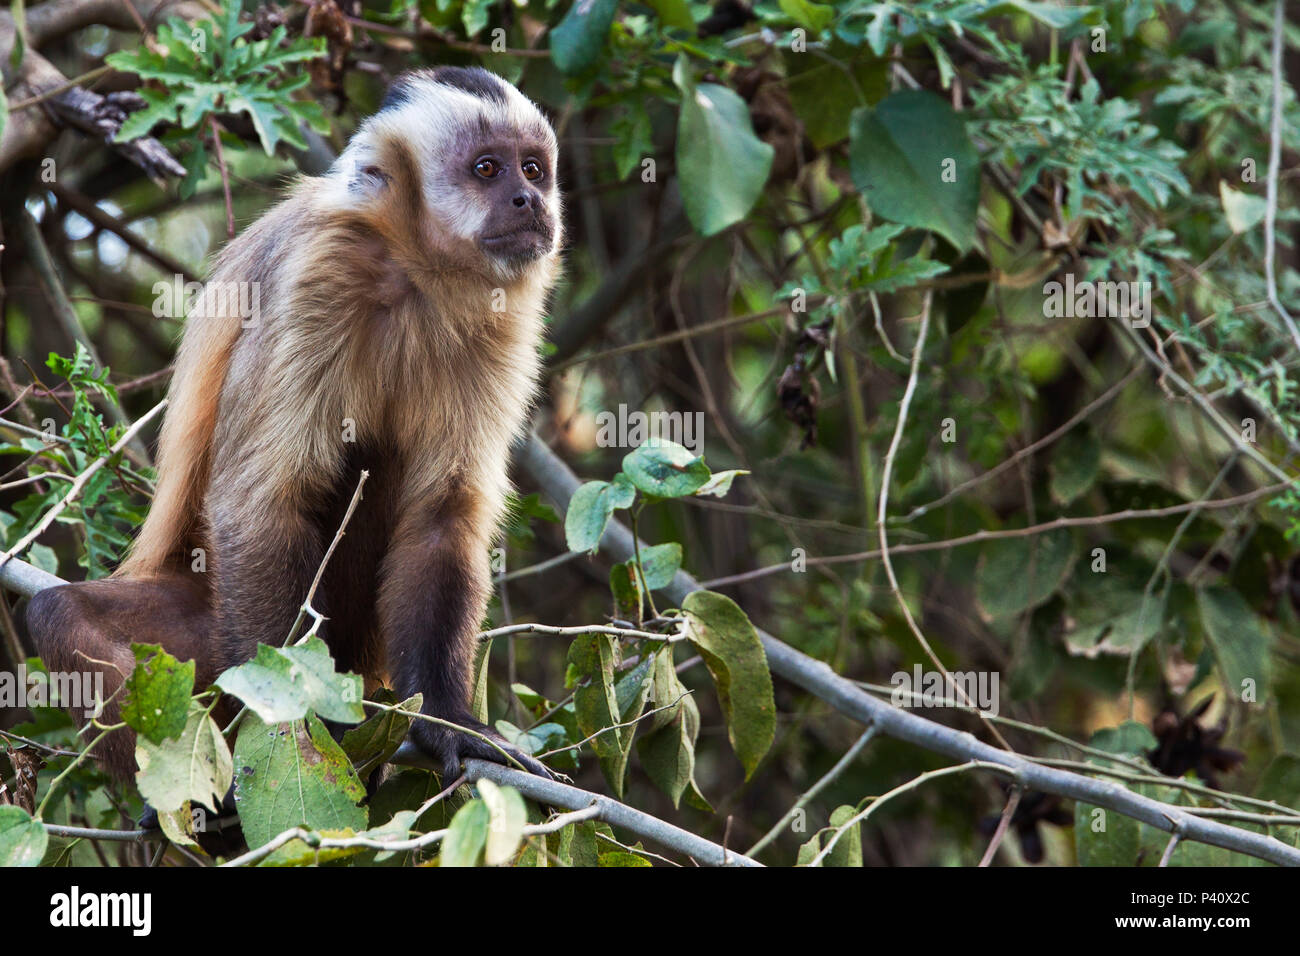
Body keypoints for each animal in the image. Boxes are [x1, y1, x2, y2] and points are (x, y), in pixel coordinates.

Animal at [26, 65, 564, 785]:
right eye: (487, 170)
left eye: (532, 169)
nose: (528, 200)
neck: (412, 269)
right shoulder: (317, 274)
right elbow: (262, 503)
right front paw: (292, 720)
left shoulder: (502, 318)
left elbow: (442, 516)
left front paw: (447, 721)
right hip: (207, 632)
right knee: (59, 612)